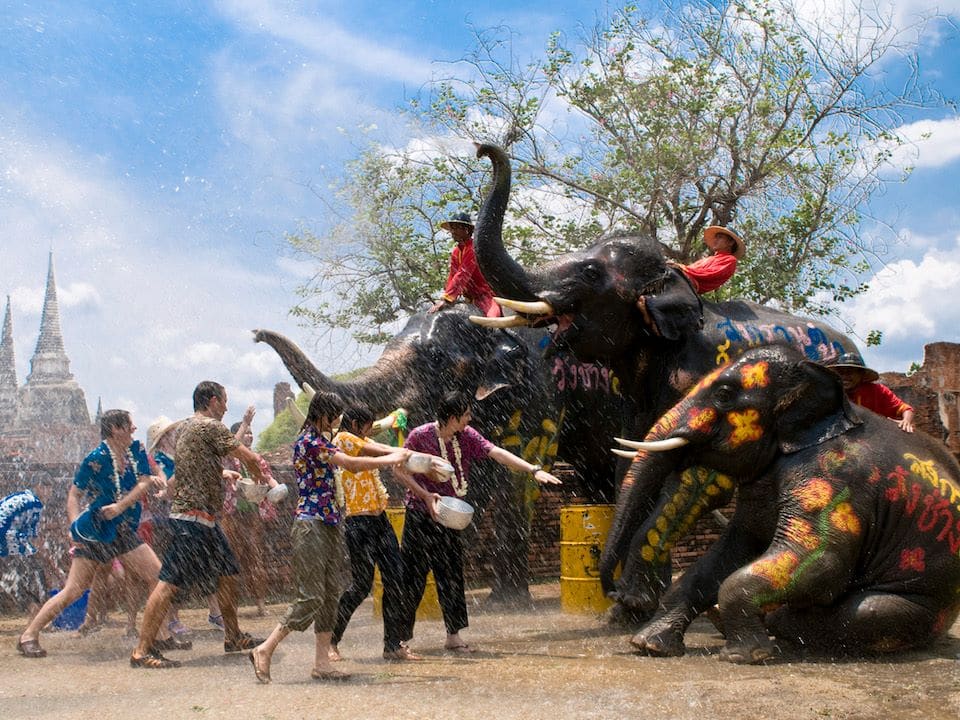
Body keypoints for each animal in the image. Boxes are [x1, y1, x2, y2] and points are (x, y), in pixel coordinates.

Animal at [251, 304, 624, 600]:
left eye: (435, 358)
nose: (255, 334)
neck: (489, 319)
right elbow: (472, 479)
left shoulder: (542, 391)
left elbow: (519, 474)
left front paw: (507, 602)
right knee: (597, 470)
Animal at [468, 142, 860, 620]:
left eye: (590, 274)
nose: (483, 149)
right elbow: (634, 464)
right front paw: (626, 614)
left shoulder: (706, 374)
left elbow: (693, 478)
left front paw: (633, 605)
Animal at [608, 344, 960, 664]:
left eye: (724, 393)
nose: (616, 592)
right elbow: (732, 551)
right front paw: (649, 646)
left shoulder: (832, 478)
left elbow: (821, 562)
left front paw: (742, 657)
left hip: (928, 606)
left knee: (868, 611)